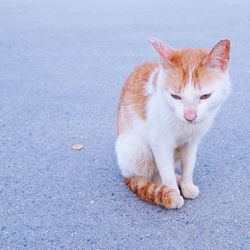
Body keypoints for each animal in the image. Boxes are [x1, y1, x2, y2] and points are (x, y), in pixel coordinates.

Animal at [115, 37, 230, 209]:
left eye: (205, 96)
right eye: (176, 96)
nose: (190, 116)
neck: (184, 126)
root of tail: (125, 172)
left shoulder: (192, 142)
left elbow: (189, 165)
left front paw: (186, 184)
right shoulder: (160, 143)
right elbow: (166, 173)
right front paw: (172, 192)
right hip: (138, 151)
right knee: (152, 173)